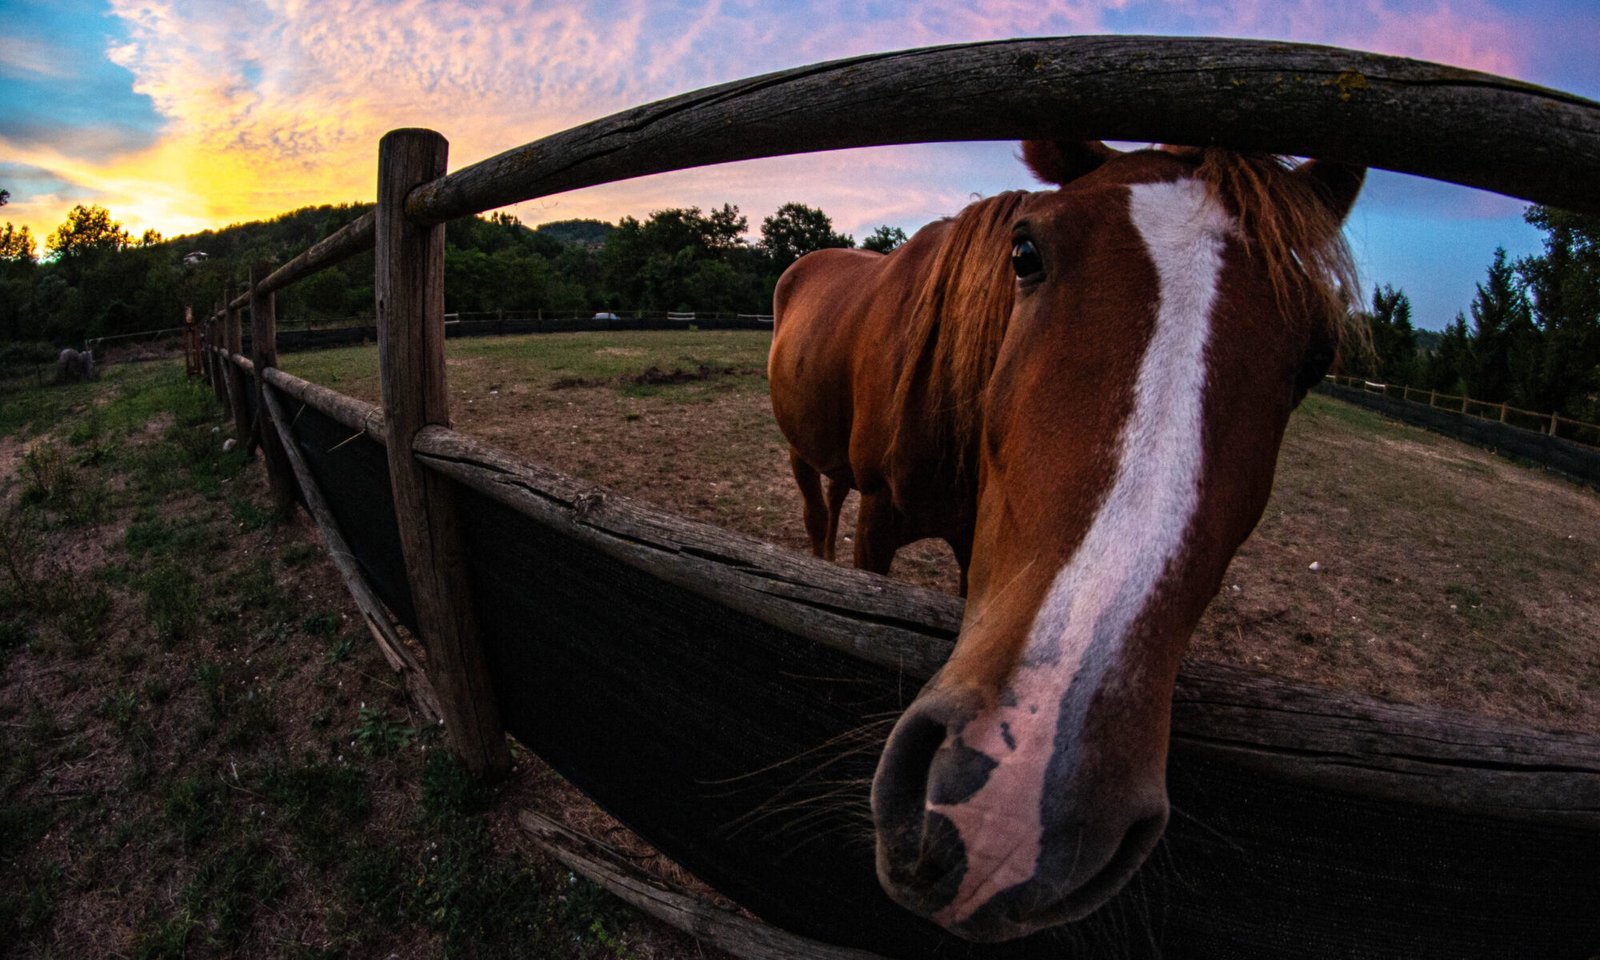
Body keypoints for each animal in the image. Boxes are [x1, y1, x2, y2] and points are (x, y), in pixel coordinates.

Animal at [768, 138, 1356, 940]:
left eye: (1318, 358)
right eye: (1025, 253)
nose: (1008, 815)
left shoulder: (972, 548)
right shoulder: (881, 524)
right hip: (803, 456)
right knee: (815, 513)